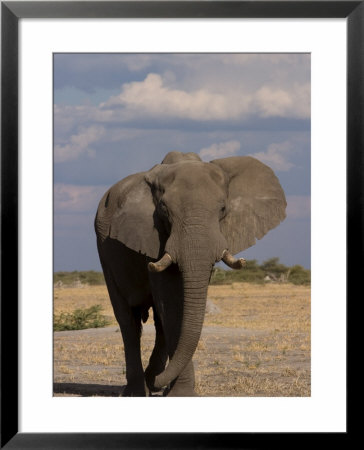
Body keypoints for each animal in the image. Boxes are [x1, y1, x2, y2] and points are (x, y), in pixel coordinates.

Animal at [94, 152, 288, 398]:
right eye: (164, 210)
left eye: (223, 209)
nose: (157, 381)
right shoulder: (152, 234)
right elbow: (171, 300)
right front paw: (180, 394)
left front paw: (174, 391)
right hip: (103, 247)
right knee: (128, 320)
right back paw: (138, 391)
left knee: (156, 322)